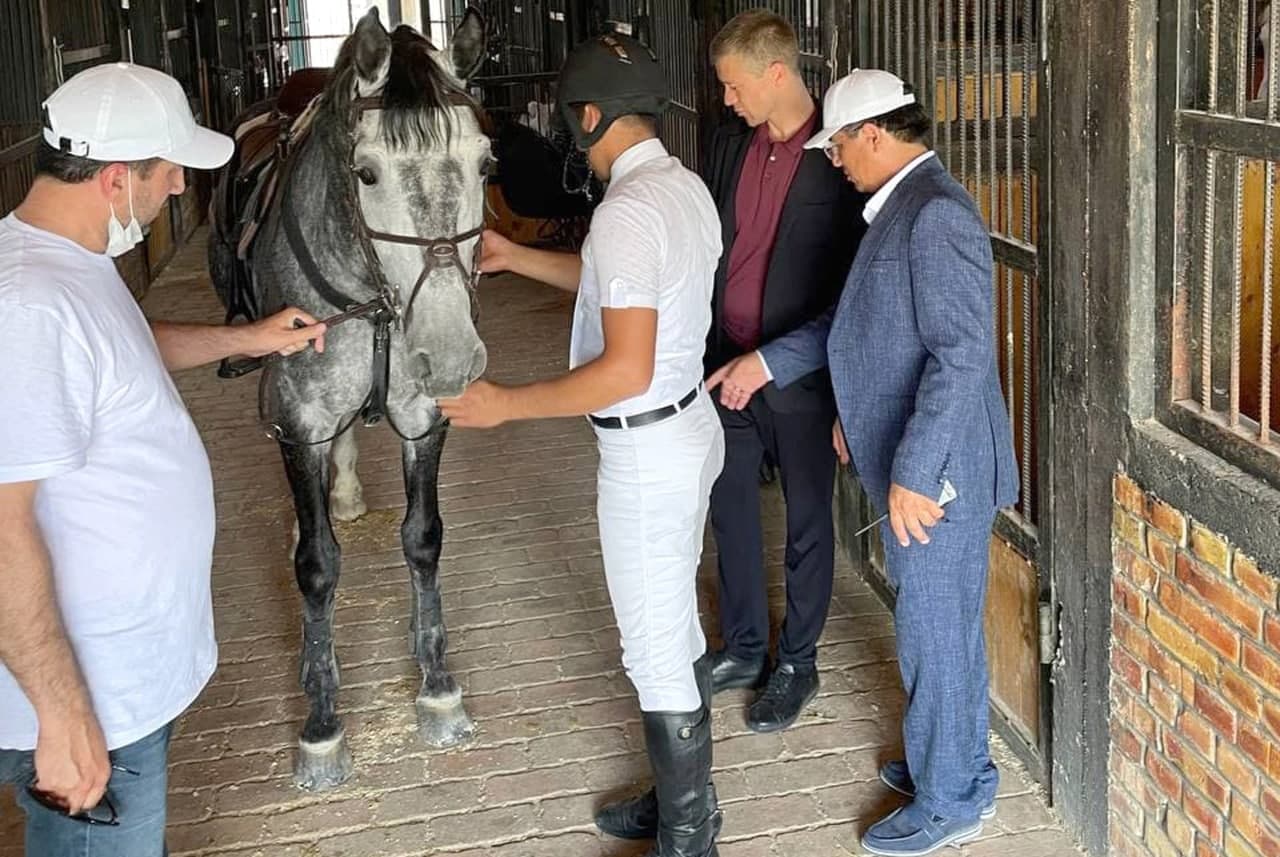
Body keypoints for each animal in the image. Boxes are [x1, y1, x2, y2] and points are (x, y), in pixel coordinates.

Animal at [208, 8, 490, 790]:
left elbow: (423, 538)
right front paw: (322, 725)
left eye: (487, 164)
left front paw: (438, 688)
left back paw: (348, 492)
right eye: (367, 172)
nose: (450, 355)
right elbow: (317, 566)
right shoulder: (298, 419)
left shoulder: (423, 415)